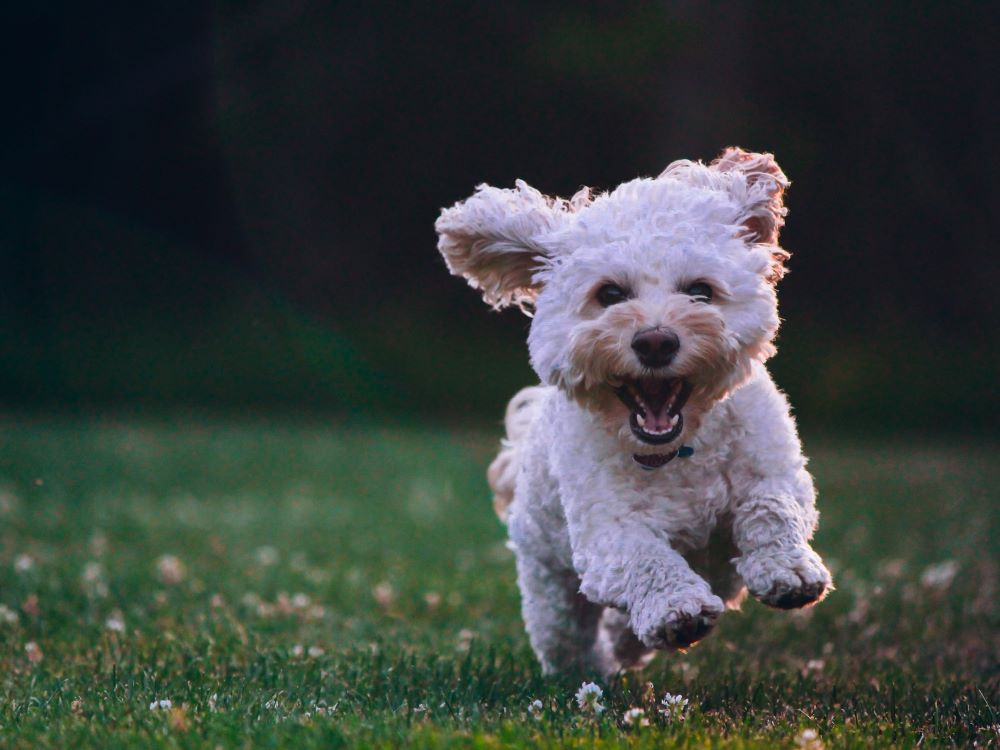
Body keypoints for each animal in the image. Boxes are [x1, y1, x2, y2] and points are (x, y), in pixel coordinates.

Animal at [434, 150, 832, 680]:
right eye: (609, 294)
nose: (656, 341)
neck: (677, 451)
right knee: (566, 634)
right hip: (549, 581)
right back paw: (593, 667)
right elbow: (645, 557)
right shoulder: (606, 532)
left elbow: (772, 507)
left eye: (700, 290)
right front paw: (675, 609)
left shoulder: (774, 469)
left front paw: (788, 569)